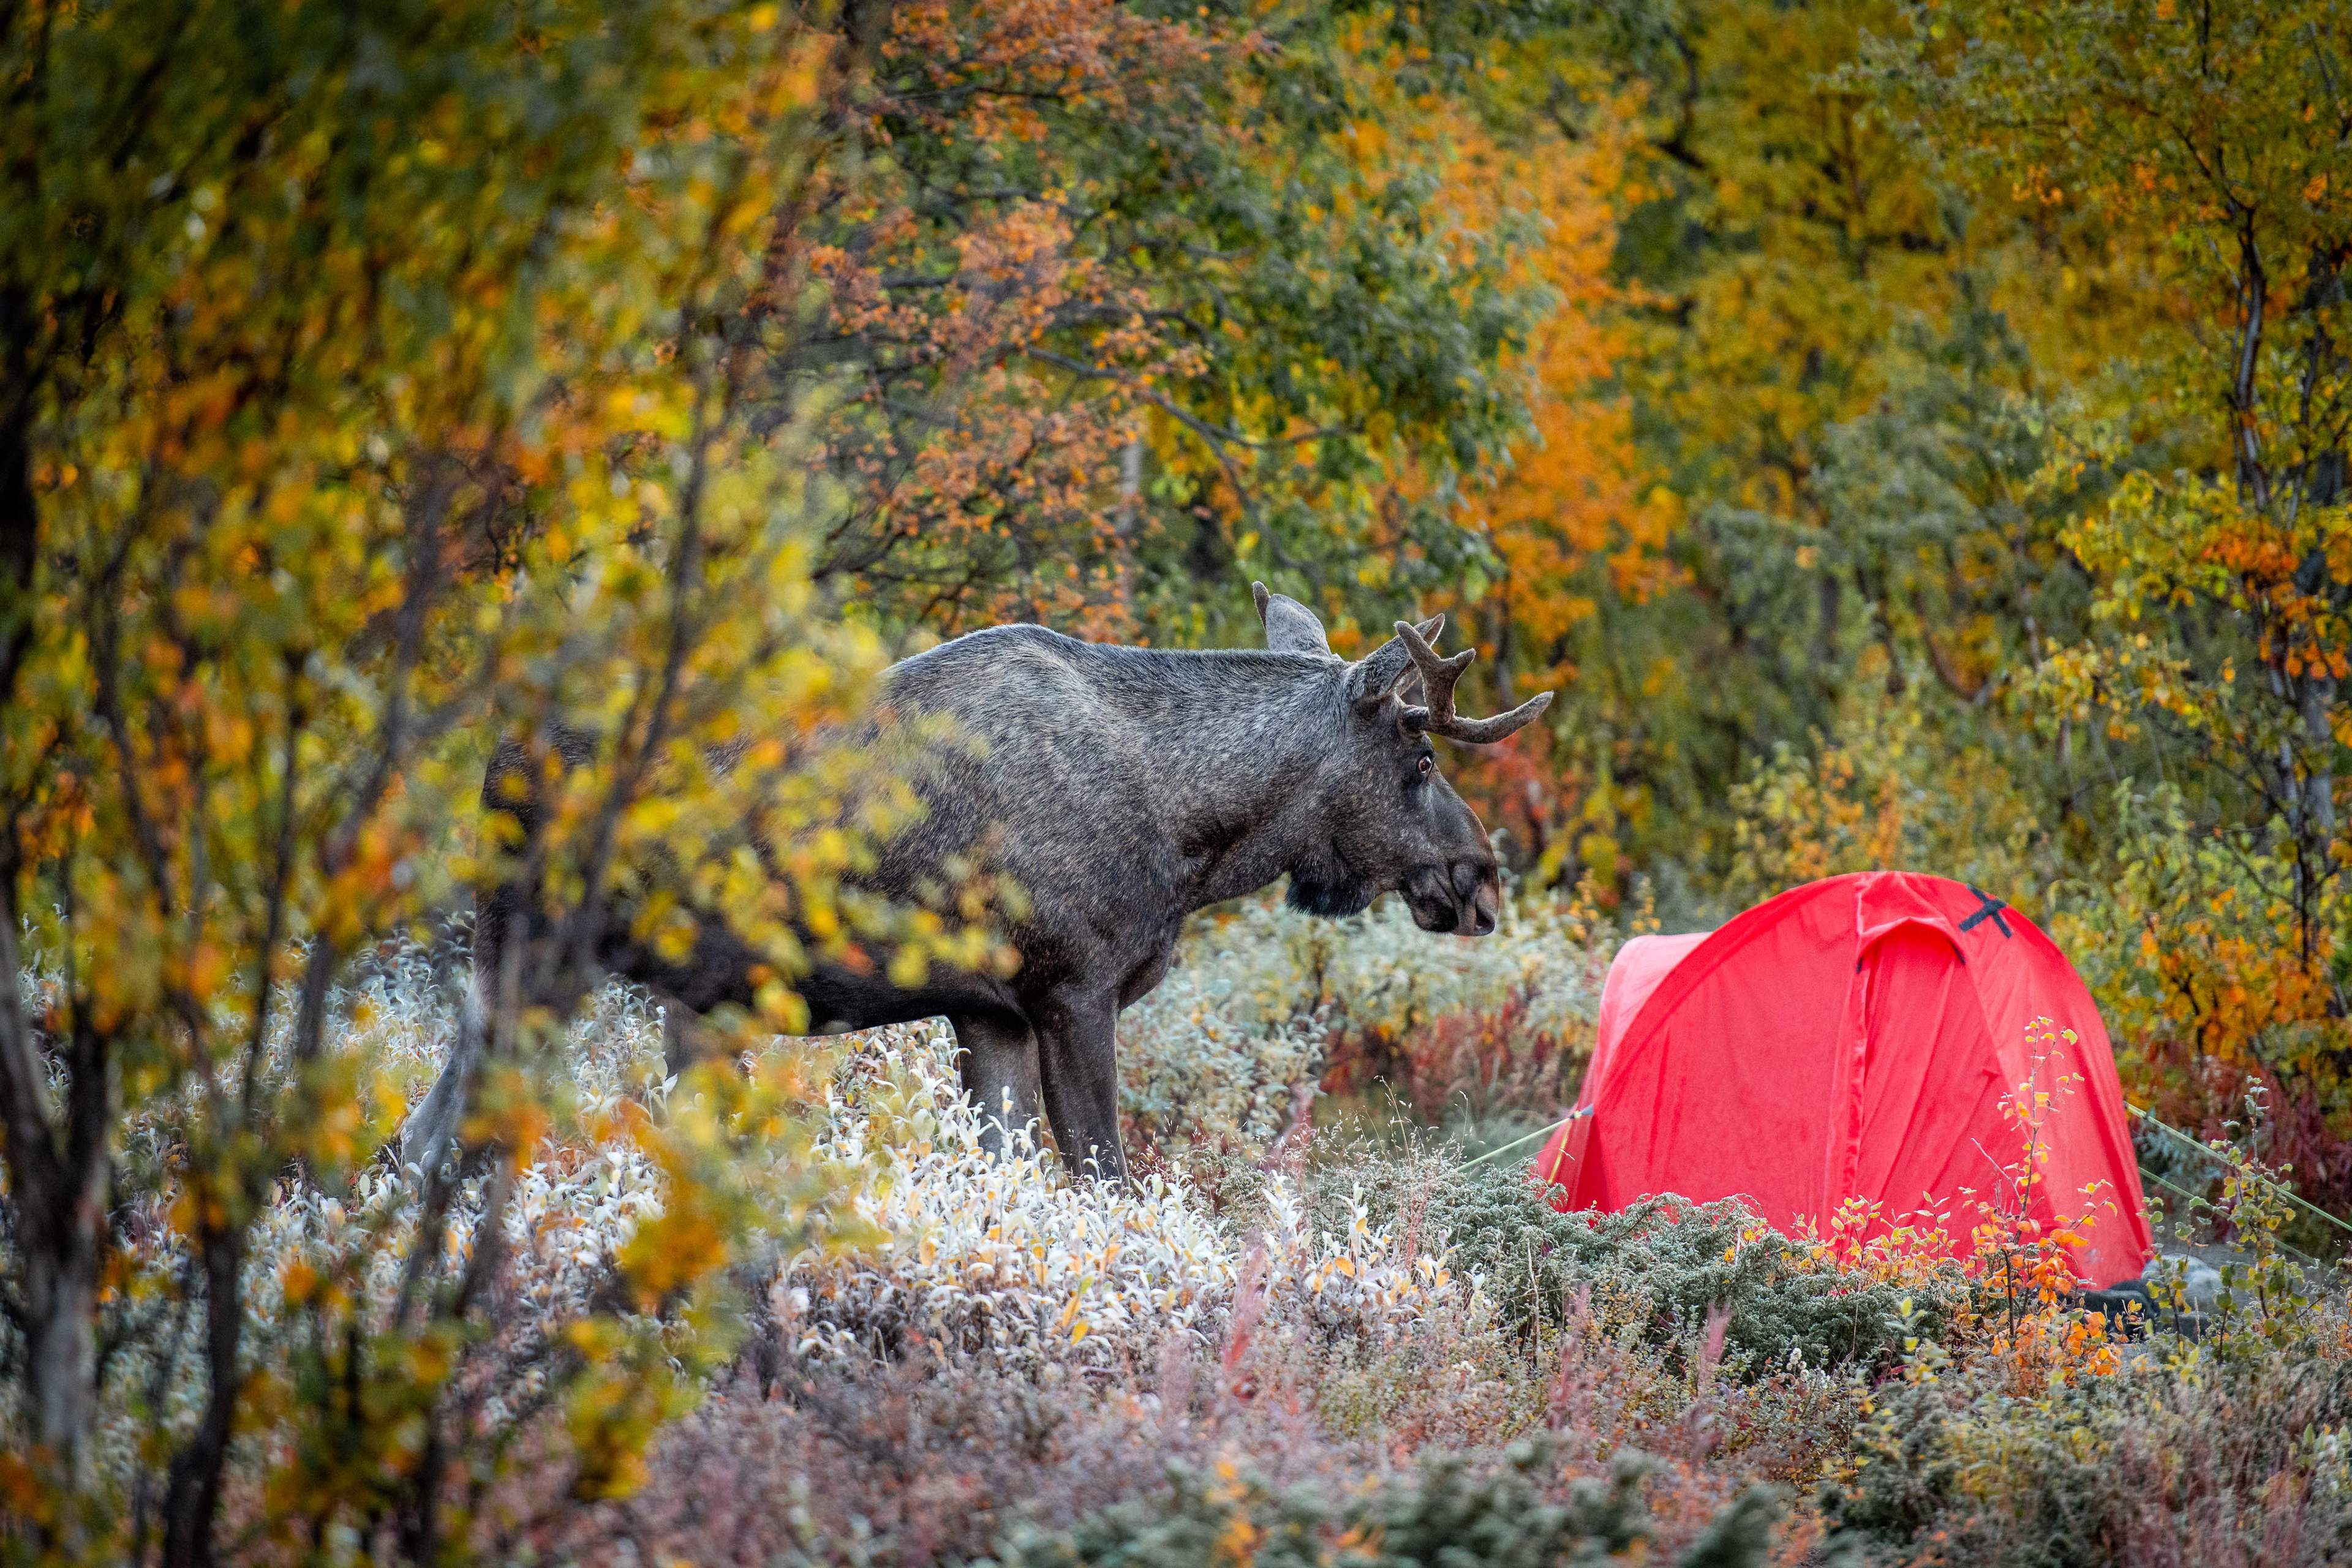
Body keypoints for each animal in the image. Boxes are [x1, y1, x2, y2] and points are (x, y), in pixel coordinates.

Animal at [407, 582, 1551, 1184]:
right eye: (1421, 760)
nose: (1481, 877)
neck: (1192, 838)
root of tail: (496, 755)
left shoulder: (989, 1014)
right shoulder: (1073, 990)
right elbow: (1105, 1180)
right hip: (533, 956)